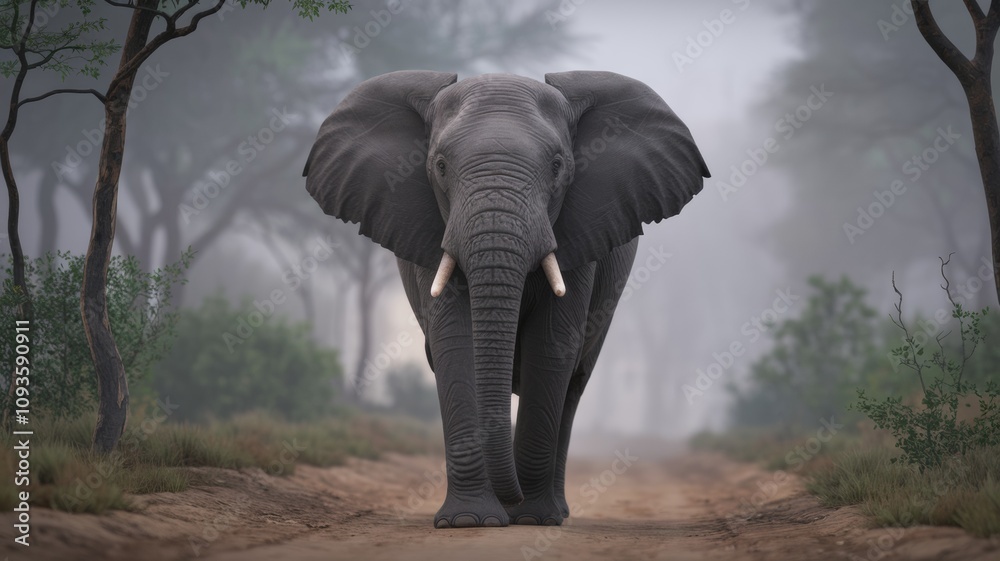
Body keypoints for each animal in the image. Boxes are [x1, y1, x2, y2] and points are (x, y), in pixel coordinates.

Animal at [303, 70, 709, 528]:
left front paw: (531, 519)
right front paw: (467, 522)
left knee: (574, 385)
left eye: (557, 167)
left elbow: (551, 343)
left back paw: (554, 512)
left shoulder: (579, 232)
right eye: (440, 166)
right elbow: (453, 340)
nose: (510, 501)